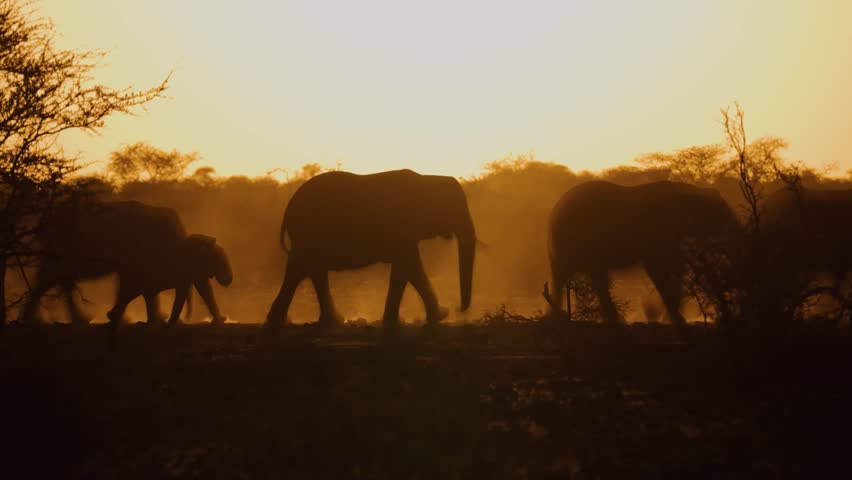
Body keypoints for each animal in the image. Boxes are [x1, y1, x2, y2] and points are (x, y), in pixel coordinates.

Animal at [266, 169, 476, 327]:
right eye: (454, 209)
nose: (457, 308)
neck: (427, 179)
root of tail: (288, 209)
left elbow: (409, 268)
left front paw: (435, 317)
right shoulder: (400, 228)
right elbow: (407, 266)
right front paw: (438, 316)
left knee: (309, 271)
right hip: (307, 234)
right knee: (303, 269)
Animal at [544, 180, 738, 327]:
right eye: (721, 212)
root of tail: (553, 214)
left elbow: (673, 265)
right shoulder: (657, 230)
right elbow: (659, 266)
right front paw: (673, 318)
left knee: (586, 276)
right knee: (577, 275)